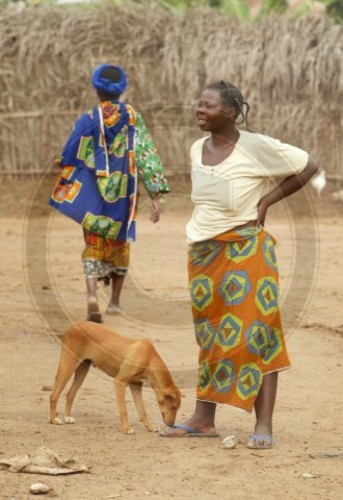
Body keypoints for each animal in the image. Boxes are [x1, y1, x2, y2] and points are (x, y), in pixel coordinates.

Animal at [50, 320, 183, 434]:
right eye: (173, 407)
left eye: (177, 408)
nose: (172, 425)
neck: (149, 358)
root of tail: (73, 326)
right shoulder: (120, 381)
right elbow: (124, 409)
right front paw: (126, 428)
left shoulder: (136, 385)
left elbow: (142, 410)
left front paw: (150, 427)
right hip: (68, 366)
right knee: (54, 395)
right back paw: (53, 420)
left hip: (82, 369)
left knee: (70, 394)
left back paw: (67, 417)